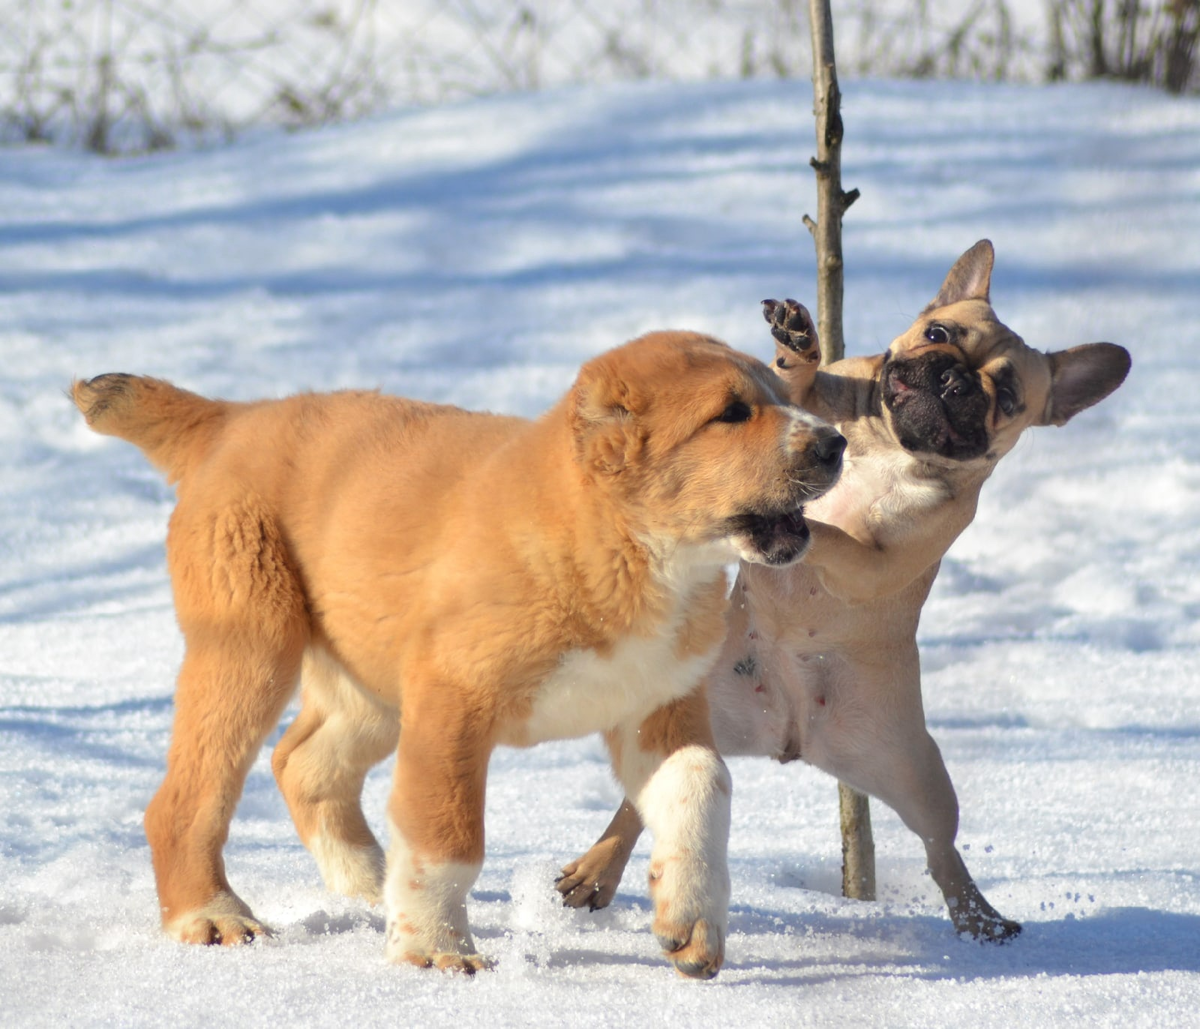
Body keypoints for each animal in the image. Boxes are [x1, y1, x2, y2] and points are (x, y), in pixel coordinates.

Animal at [72, 331, 844, 978]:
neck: (623, 546)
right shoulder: (453, 703)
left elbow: (702, 787)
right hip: (252, 648)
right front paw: (437, 952)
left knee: (303, 764)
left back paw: (368, 887)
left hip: (371, 681)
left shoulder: (656, 705)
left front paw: (691, 920)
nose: (835, 443)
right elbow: (448, 834)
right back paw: (211, 916)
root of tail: (234, 418)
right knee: (188, 797)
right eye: (730, 414)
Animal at [556, 241, 1128, 940]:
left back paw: (979, 918)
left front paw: (800, 525)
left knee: (941, 848)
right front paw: (797, 340)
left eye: (1009, 393)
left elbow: (839, 541)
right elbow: (803, 385)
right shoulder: (822, 397)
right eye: (938, 334)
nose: (953, 378)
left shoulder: (882, 560)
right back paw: (596, 870)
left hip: (914, 770)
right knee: (639, 805)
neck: (889, 446)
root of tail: (792, 737)